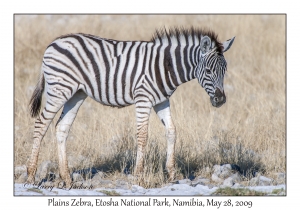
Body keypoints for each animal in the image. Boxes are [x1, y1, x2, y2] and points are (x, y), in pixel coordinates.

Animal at [27, 27, 236, 186]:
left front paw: (172, 174)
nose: (220, 100)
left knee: (61, 128)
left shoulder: (162, 100)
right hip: (59, 90)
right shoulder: (143, 98)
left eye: (225, 70)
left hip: (76, 94)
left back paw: (67, 179)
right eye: (208, 71)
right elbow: (142, 135)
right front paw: (138, 177)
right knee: (40, 124)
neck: (165, 65)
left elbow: (172, 131)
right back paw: (31, 175)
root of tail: (54, 42)